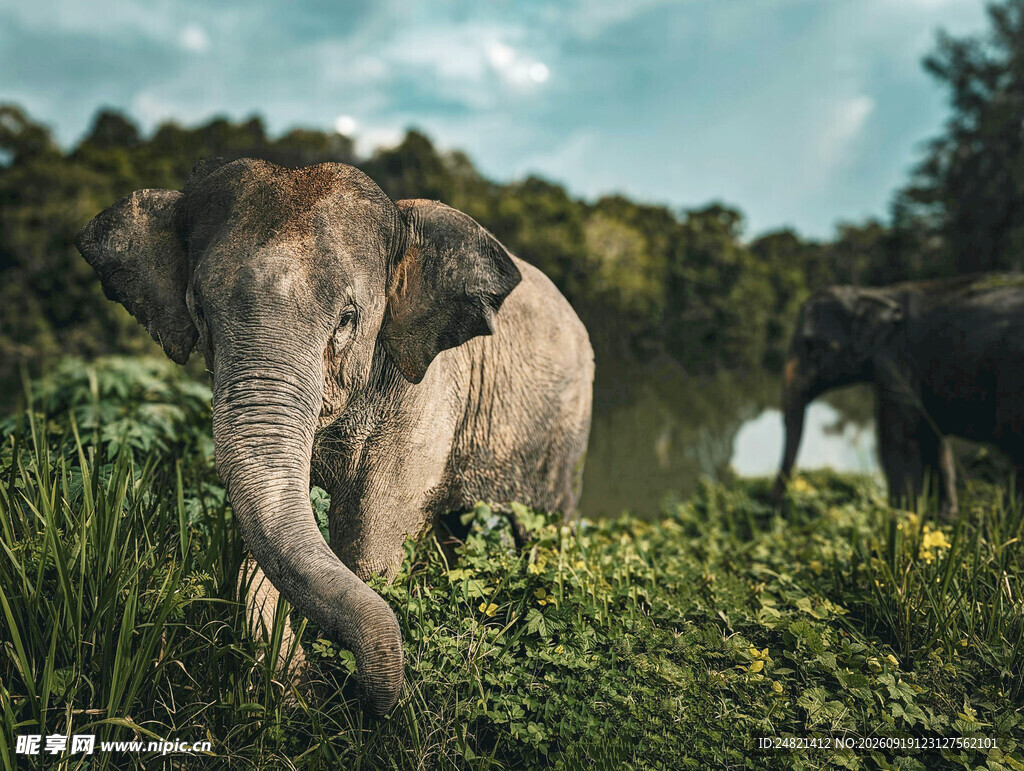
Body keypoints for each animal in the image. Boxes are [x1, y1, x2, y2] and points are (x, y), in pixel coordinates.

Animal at [75, 157, 595, 714]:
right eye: (199, 313)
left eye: (348, 320)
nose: (345, 694)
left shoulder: (427, 394)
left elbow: (371, 551)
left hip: (568, 427)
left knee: (542, 526)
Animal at [773, 276, 1024, 518]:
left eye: (810, 344)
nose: (778, 513)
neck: (876, 294)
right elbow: (931, 439)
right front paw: (942, 519)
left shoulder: (896, 364)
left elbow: (898, 442)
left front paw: (902, 519)